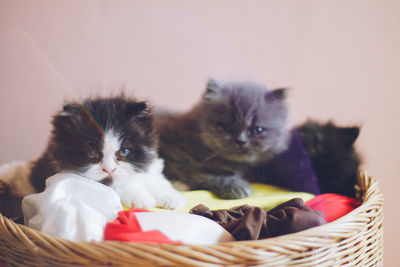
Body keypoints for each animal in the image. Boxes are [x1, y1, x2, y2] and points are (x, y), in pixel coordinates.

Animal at [25, 95, 186, 210]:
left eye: (124, 151)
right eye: (92, 153)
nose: (109, 170)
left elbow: (156, 179)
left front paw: (173, 197)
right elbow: (116, 184)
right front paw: (140, 197)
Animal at [155, 79, 290, 199]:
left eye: (258, 130)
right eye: (226, 126)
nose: (241, 141)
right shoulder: (177, 154)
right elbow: (203, 174)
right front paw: (237, 187)